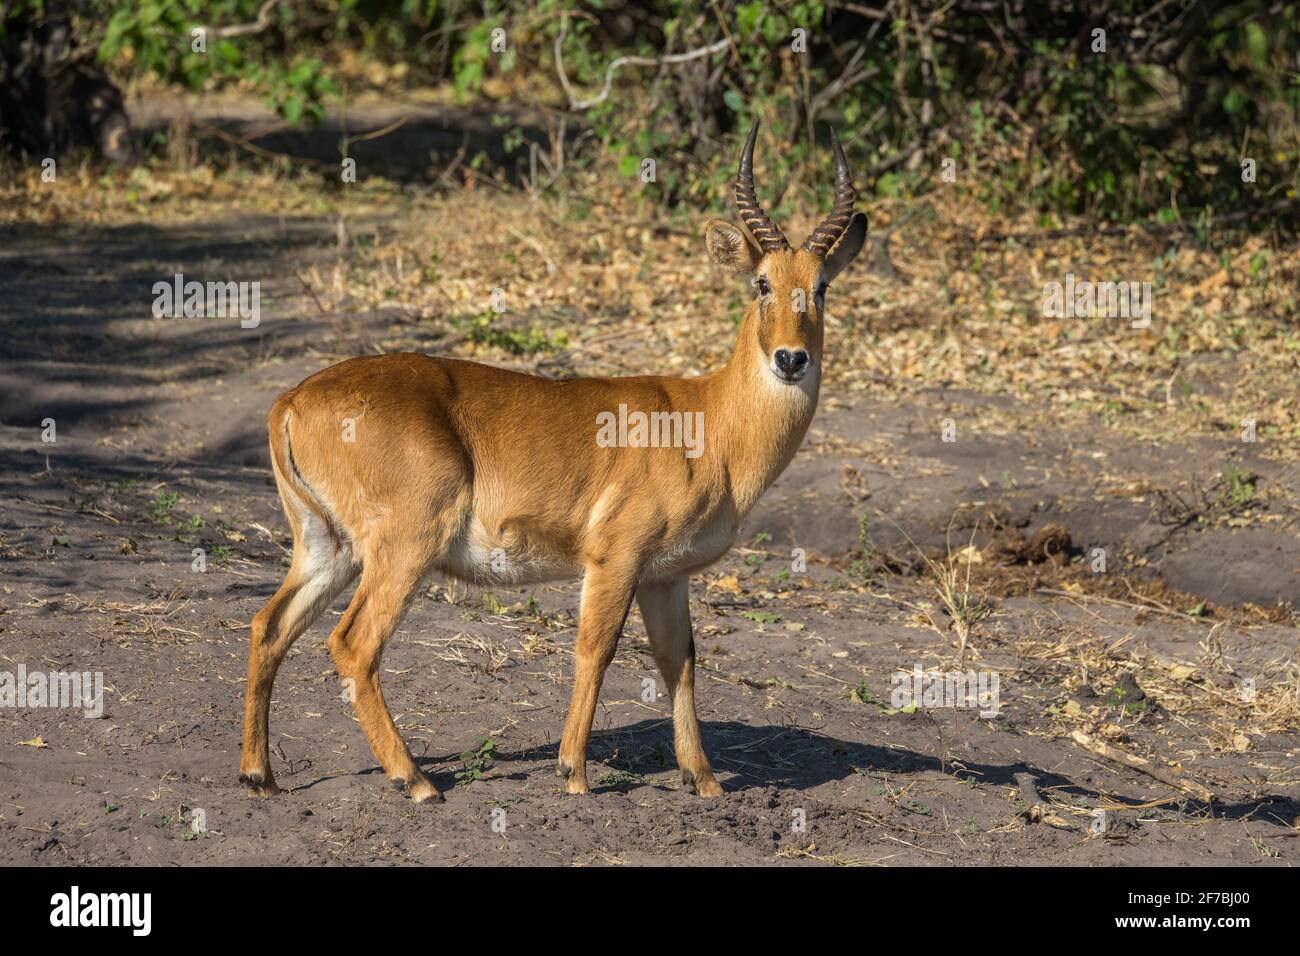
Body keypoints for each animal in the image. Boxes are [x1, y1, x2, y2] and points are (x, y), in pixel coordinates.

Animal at [239, 123, 868, 806]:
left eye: (823, 285)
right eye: (762, 283)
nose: (791, 358)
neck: (708, 422)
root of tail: (291, 400)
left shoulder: (666, 576)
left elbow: (680, 661)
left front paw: (703, 781)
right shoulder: (615, 557)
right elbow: (596, 649)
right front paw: (574, 773)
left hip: (326, 544)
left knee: (268, 625)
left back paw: (260, 775)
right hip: (405, 544)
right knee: (352, 644)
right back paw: (418, 781)